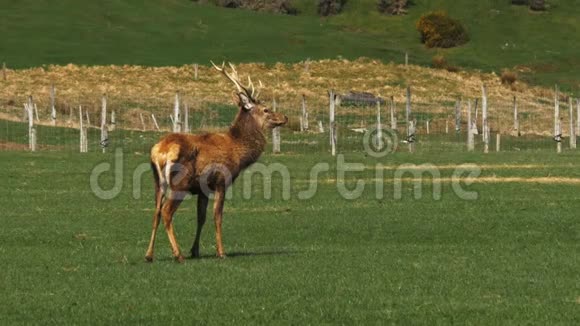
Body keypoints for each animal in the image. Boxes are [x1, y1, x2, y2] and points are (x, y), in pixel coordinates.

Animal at [145, 62, 288, 264]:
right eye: (266, 109)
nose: (285, 117)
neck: (238, 152)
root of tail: (160, 153)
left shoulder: (202, 189)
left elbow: (201, 217)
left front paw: (195, 250)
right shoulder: (221, 181)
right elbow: (217, 216)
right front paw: (221, 252)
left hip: (158, 182)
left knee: (156, 212)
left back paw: (149, 255)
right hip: (180, 183)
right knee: (166, 212)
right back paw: (178, 254)